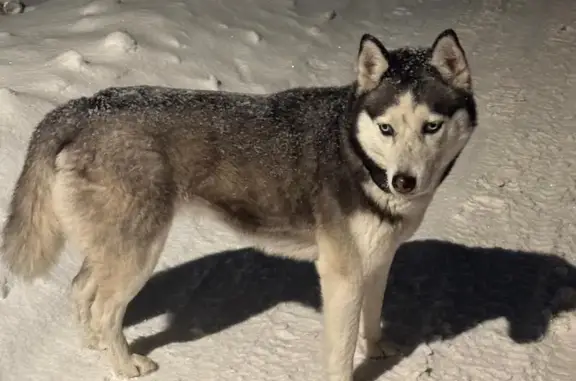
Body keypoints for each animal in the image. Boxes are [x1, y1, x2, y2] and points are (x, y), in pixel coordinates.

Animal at [1, 29, 476, 380]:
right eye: (386, 128)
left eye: (432, 126)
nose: (404, 181)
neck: (354, 150)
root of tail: (84, 106)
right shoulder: (342, 276)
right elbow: (340, 356)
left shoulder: (377, 262)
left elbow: (373, 320)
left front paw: (377, 351)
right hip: (137, 253)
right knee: (104, 310)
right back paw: (123, 364)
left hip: (112, 247)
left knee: (81, 289)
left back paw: (94, 345)